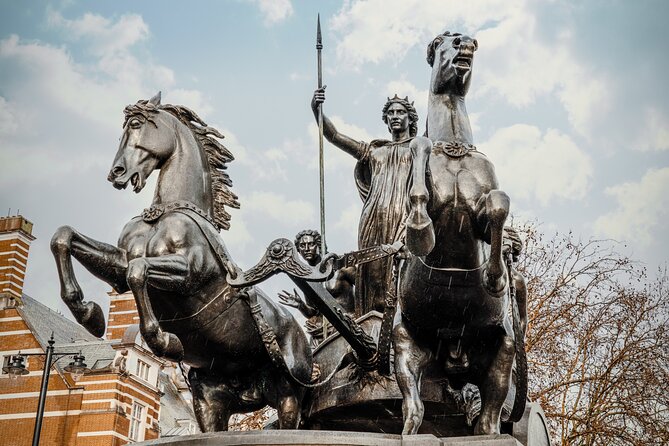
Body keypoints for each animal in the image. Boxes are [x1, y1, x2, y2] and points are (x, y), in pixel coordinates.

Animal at [51, 94, 312, 432]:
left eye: (136, 124)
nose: (116, 173)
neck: (165, 213)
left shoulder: (188, 273)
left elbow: (139, 272)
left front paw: (164, 341)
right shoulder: (120, 264)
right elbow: (64, 237)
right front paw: (89, 314)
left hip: (288, 395)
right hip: (210, 399)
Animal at [394, 32, 520, 436]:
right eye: (441, 40)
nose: (467, 42)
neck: (454, 148)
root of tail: (454, 357)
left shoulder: (482, 207)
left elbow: (498, 203)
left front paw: (495, 276)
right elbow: (417, 152)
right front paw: (419, 229)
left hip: (502, 350)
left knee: (489, 420)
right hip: (406, 344)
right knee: (413, 406)